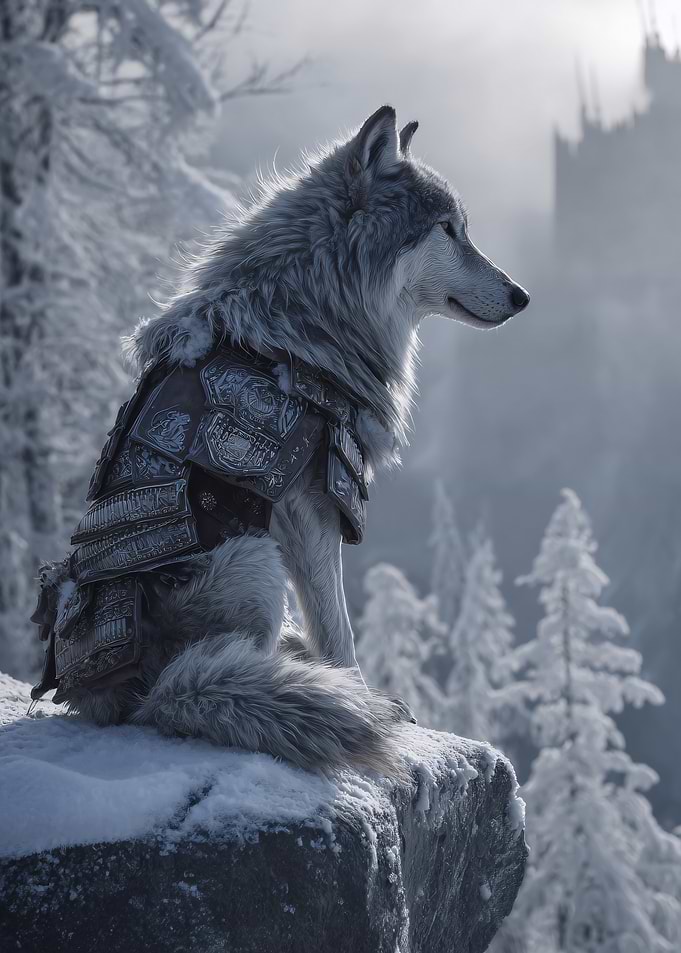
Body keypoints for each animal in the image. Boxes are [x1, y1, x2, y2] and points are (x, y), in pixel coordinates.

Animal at [31, 106, 529, 776]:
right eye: (448, 230)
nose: (521, 295)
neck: (302, 317)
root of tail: (120, 694)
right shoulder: (310, 505)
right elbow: (340, 624)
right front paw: (368, 698)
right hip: (253, 556)